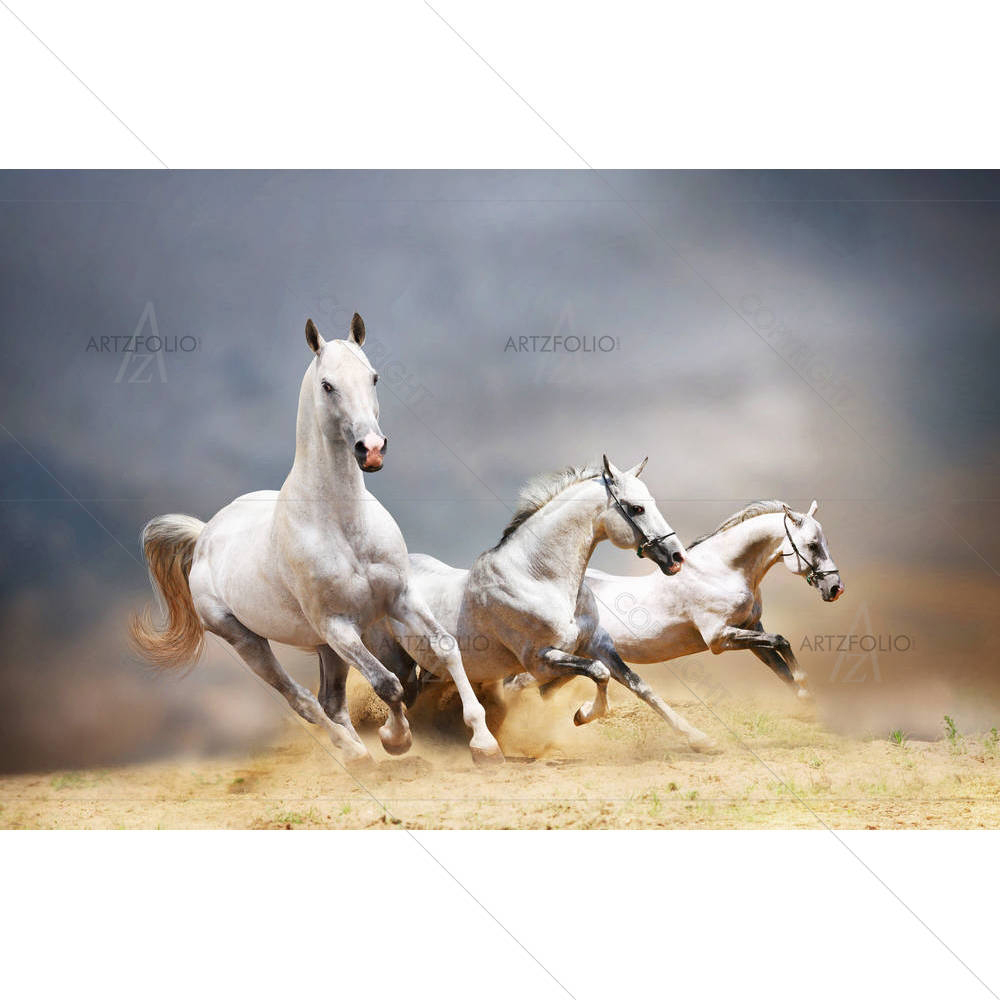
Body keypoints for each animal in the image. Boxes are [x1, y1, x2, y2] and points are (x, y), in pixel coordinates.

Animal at [130, 313, 501, 765]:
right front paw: (395, 739)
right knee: (303, 700)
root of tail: (204, 536)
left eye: (374, 377)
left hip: (323, 646)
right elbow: (387, 683)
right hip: (249, 640)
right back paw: (356, 753)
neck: (344, 527)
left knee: (331, 702)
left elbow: (446, 647)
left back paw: (360, 753)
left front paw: (484, 742)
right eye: (327, 385)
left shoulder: (400, 599)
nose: (371, 449)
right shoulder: (339, 626)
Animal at [366, 456, 718, 752]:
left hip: (431, 668)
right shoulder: (540, 659)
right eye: (635, 509)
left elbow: (639, 686)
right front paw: (582, 714)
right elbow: (599, 673)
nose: (676, 556)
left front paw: (699, 739)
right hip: (397, 659)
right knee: (400, 695)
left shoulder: (597, 643)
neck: (539, 578)